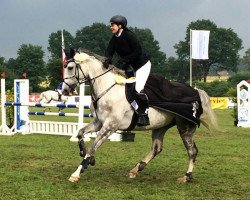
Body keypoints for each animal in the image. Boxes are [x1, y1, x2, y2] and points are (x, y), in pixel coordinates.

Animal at [62, 48, 217, 183]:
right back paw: (135, 169)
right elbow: (80, 133)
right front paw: (88, 157)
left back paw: (186, 176)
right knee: (156, 148)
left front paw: (77, 173)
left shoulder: (110, 127)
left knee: (192, 151)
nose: (64, 91)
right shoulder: (99, 123)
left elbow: (93, 147)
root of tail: (196, 92)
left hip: (185, 127)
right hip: (161, 126)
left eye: (69, 67)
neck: (107, 88)